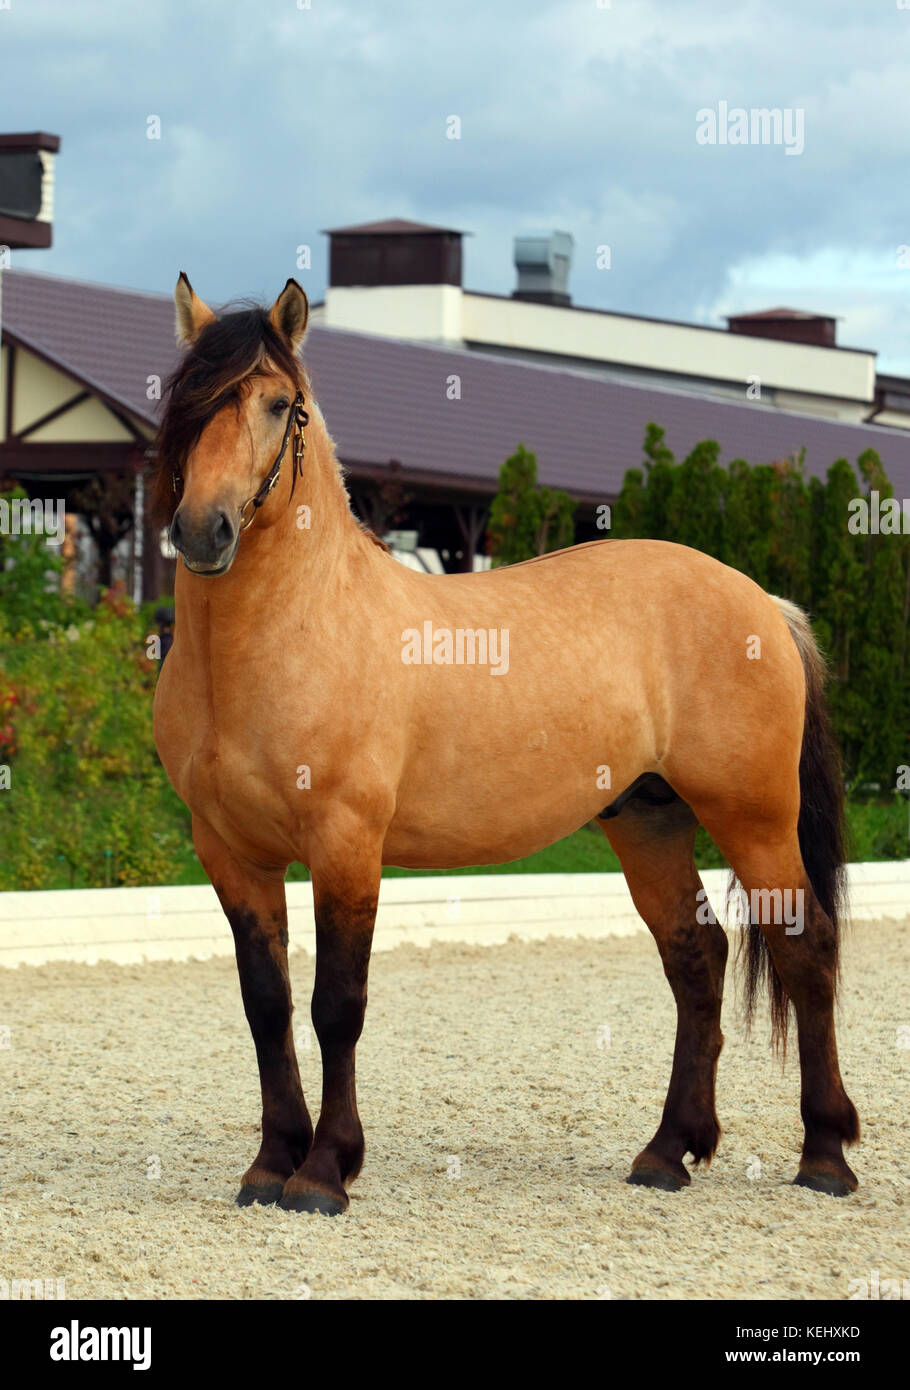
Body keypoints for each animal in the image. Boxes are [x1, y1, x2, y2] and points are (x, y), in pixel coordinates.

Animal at [152, 274, 860, 1216]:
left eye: (278, 405)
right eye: (187, 401)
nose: (205, 531)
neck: (298, 629)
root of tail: (764, 605)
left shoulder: (346, 846)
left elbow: (337, 1004)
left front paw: (325, 1171)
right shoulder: (231, 853)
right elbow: (266, 1005)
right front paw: (270, 1165)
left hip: (754, 820)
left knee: (804, 949)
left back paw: (825, 1157)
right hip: (650, 822)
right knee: (697, 957)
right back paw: (668, 1152)